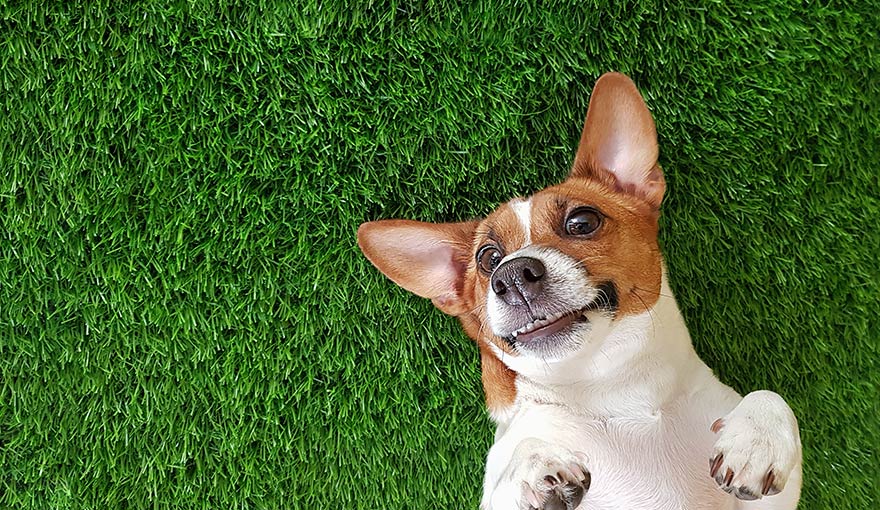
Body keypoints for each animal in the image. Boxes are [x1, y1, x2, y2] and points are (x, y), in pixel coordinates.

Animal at [360, 72, 804, 510]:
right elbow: (521, 459)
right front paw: (534, 466)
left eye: (582, 221)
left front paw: (758, 438)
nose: (512, 273)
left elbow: (772, 396)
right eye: (487, 258)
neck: (612, 388)